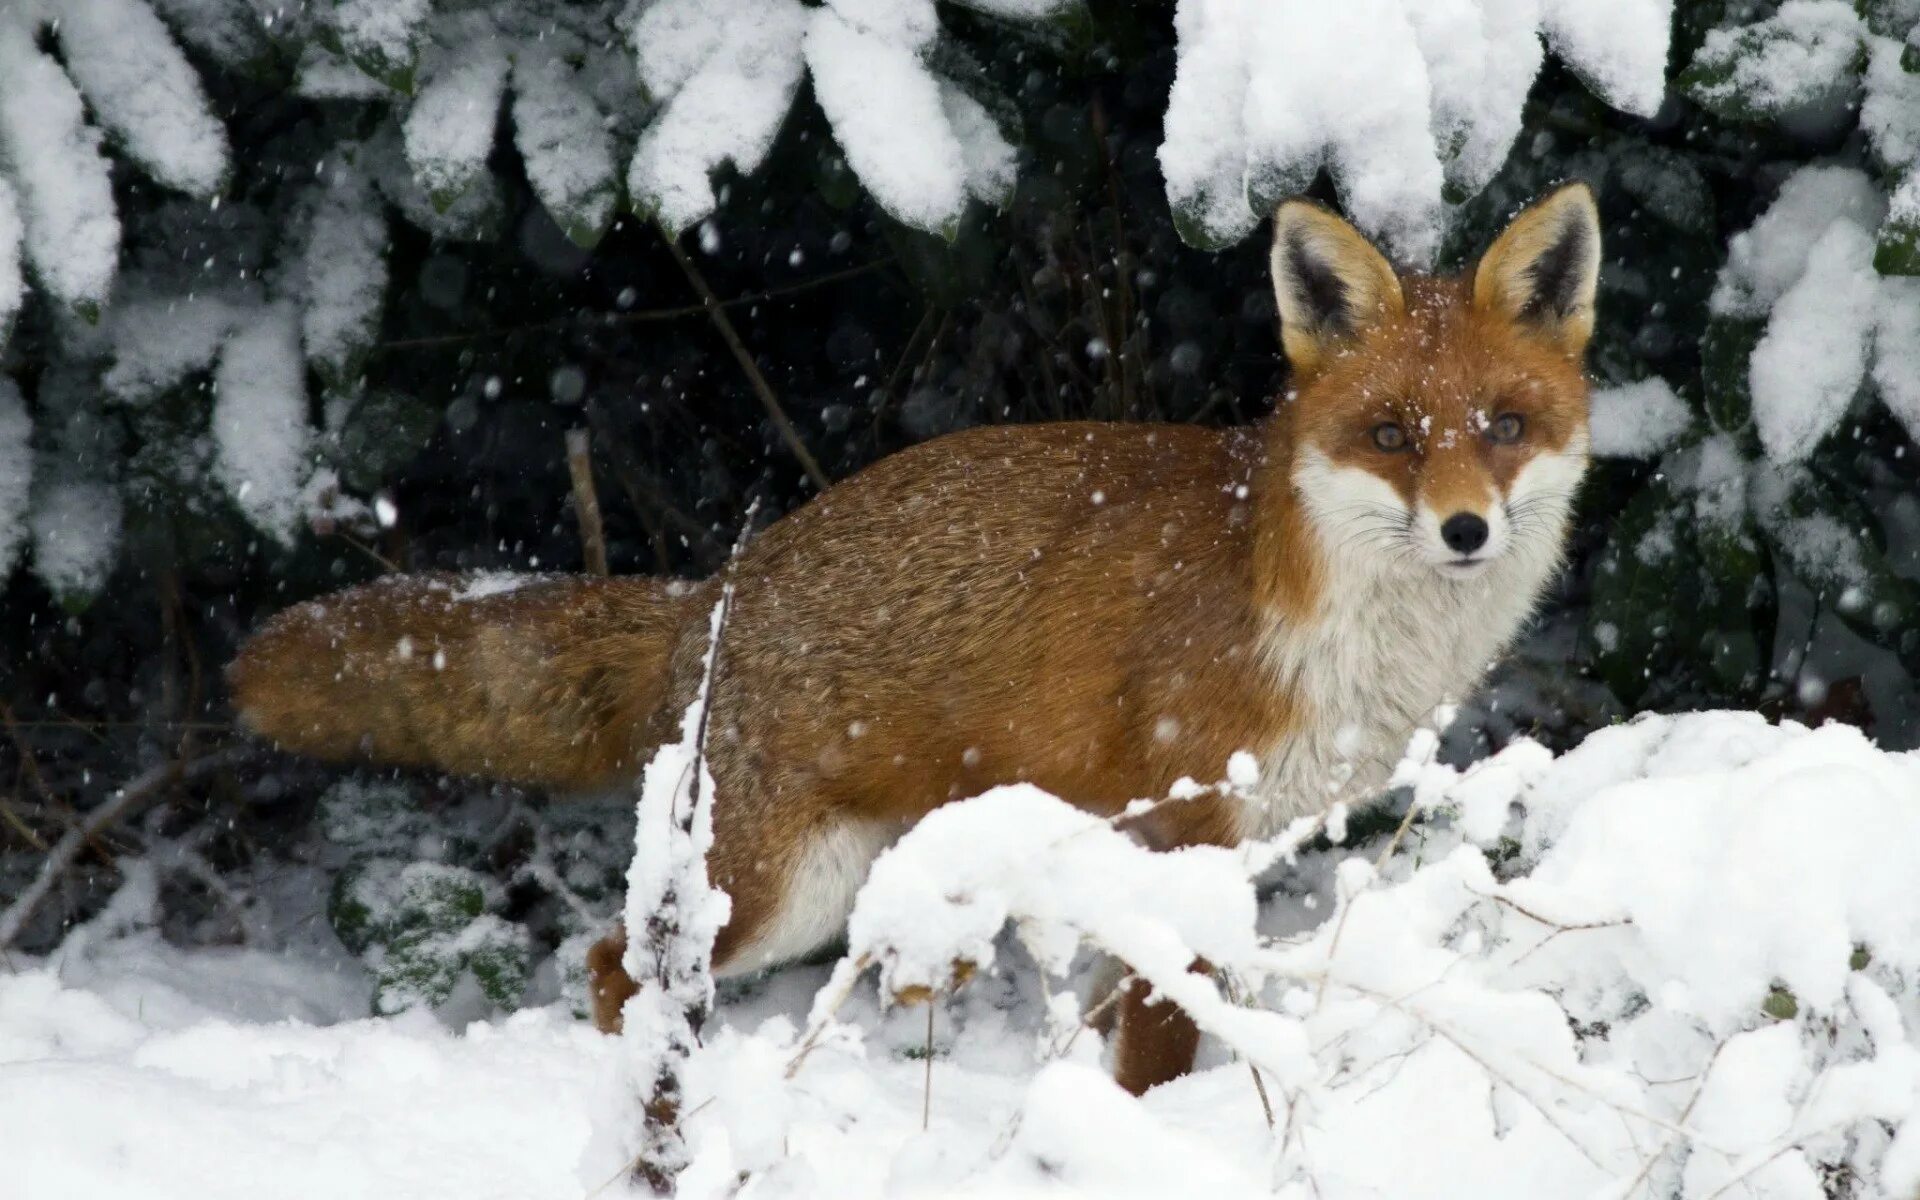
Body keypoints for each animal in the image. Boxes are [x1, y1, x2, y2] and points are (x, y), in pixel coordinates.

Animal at [224, 187, 1605, 1098]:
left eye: (1503, 424)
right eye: (1392, 435)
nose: (1467, 529)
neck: (1330, 623)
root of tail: (717, 590)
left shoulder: (1225, 852)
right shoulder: (1179, 829)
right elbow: (1159, 1038)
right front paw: (1151, 1132)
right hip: (780, 888)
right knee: (615, 961)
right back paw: (656, 1099)